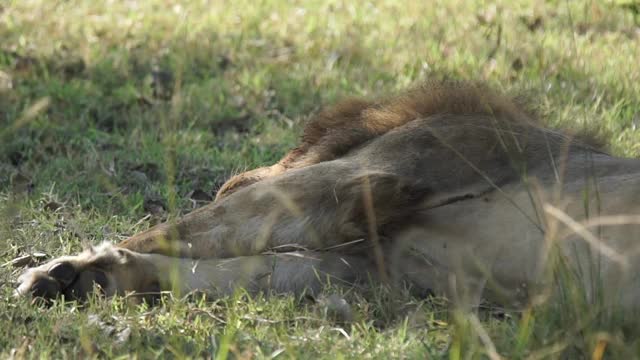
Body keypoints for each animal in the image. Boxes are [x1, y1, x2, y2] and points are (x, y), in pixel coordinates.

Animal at [13, 80, 640, 310]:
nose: (231, 177)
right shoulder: (371, 267)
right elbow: (230, 271)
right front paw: (90, 277)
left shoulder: (356, 178)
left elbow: (189, 230)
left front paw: (67, 269)